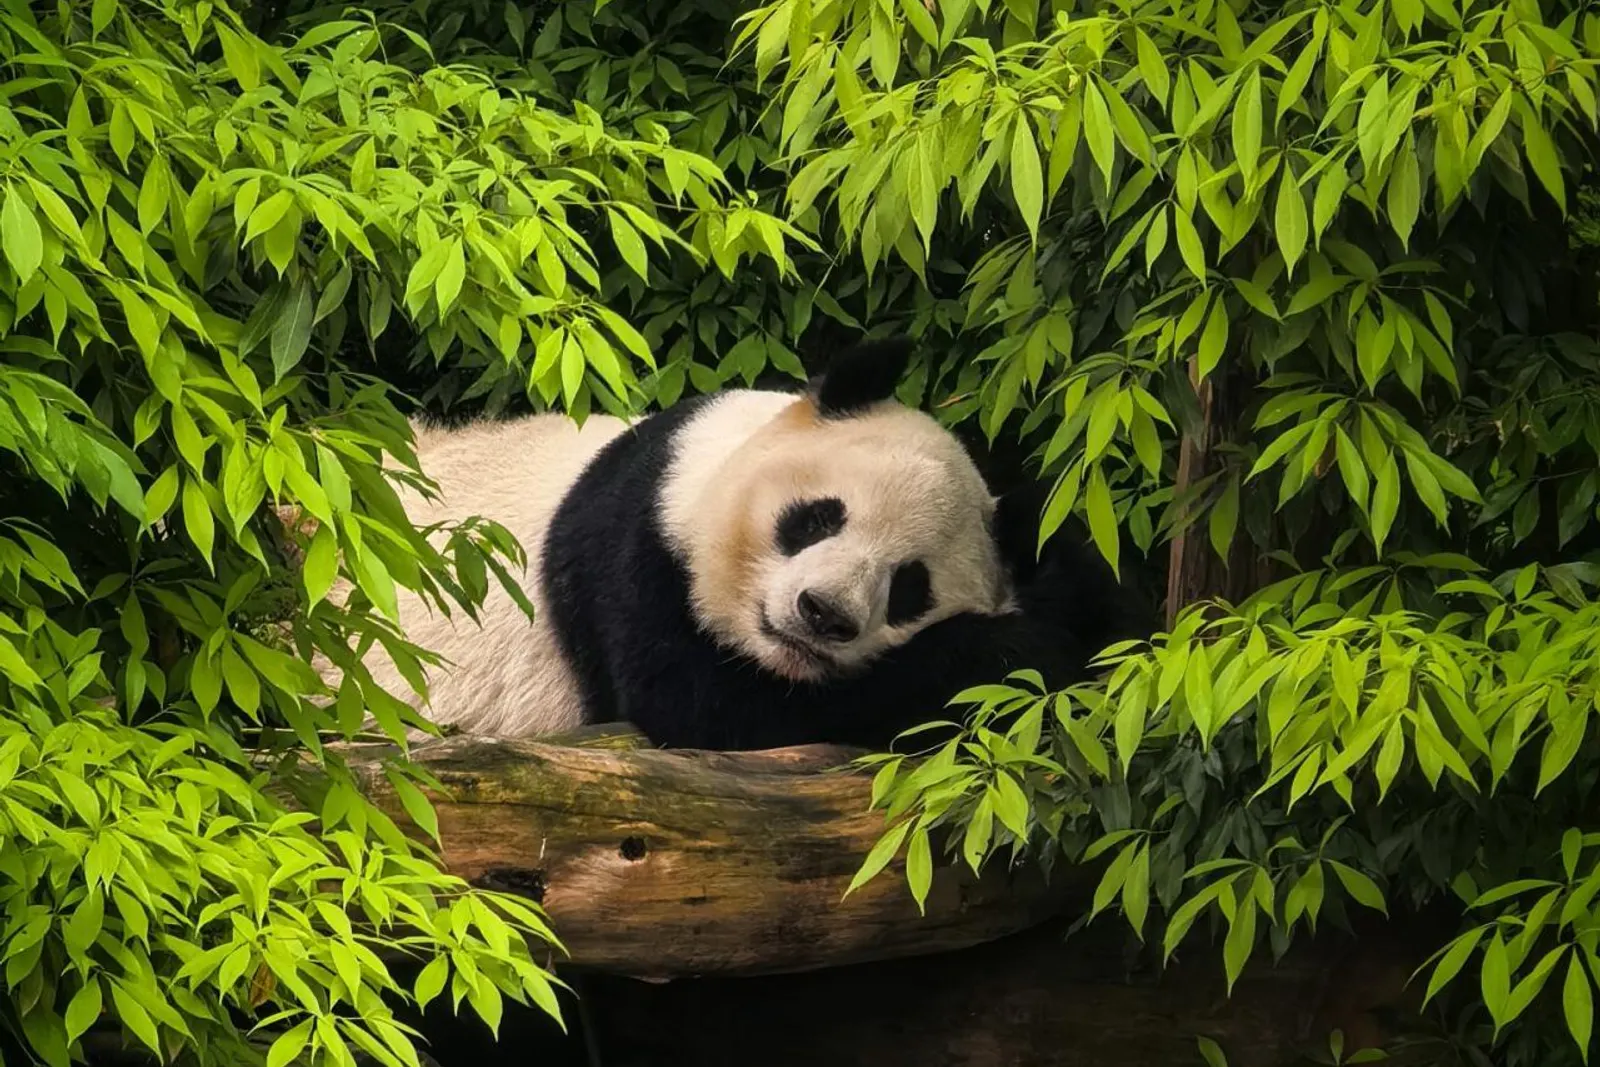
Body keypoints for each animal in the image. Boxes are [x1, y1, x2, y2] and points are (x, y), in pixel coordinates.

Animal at [349, 337, 1141, 751]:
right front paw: (1016, 650)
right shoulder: (635, 548)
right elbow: (713, 707)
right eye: (817, 519)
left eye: (910, 586)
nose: (823, 613)